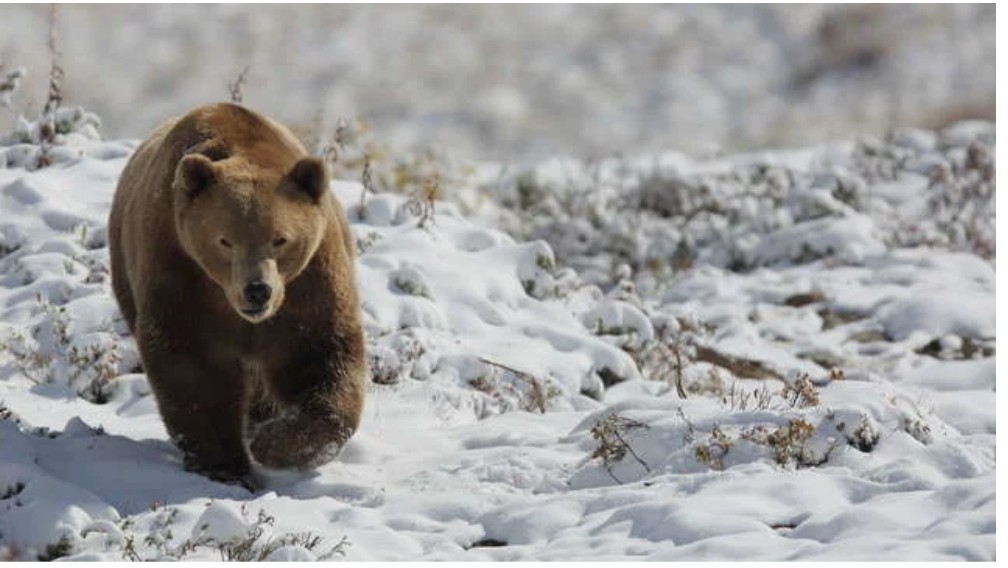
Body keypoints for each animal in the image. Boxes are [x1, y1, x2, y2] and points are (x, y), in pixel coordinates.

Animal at [109, 103, 366, 488]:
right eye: (225, 240)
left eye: (280, 238)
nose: (257, 290)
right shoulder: (180, 271)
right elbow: (194, 368)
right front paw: (225, 464)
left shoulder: (308, 285)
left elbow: (321, 355)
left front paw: (276, 444)